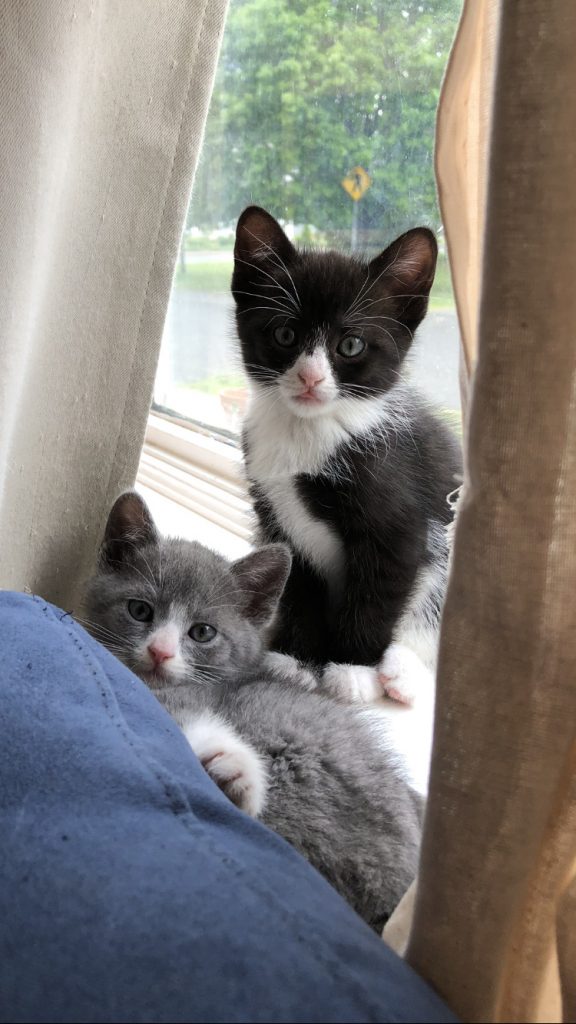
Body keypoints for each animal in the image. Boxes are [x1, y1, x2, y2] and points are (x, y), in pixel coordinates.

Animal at [230, 207, 459, 704]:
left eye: (350, 345)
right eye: (285, 333)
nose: (311, 378)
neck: (310, 430)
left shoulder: (398, 521)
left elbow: (377, 595)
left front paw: (352, 668)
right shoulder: (278, 519)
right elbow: (296, 585)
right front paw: (297, 659)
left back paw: (403, 672)